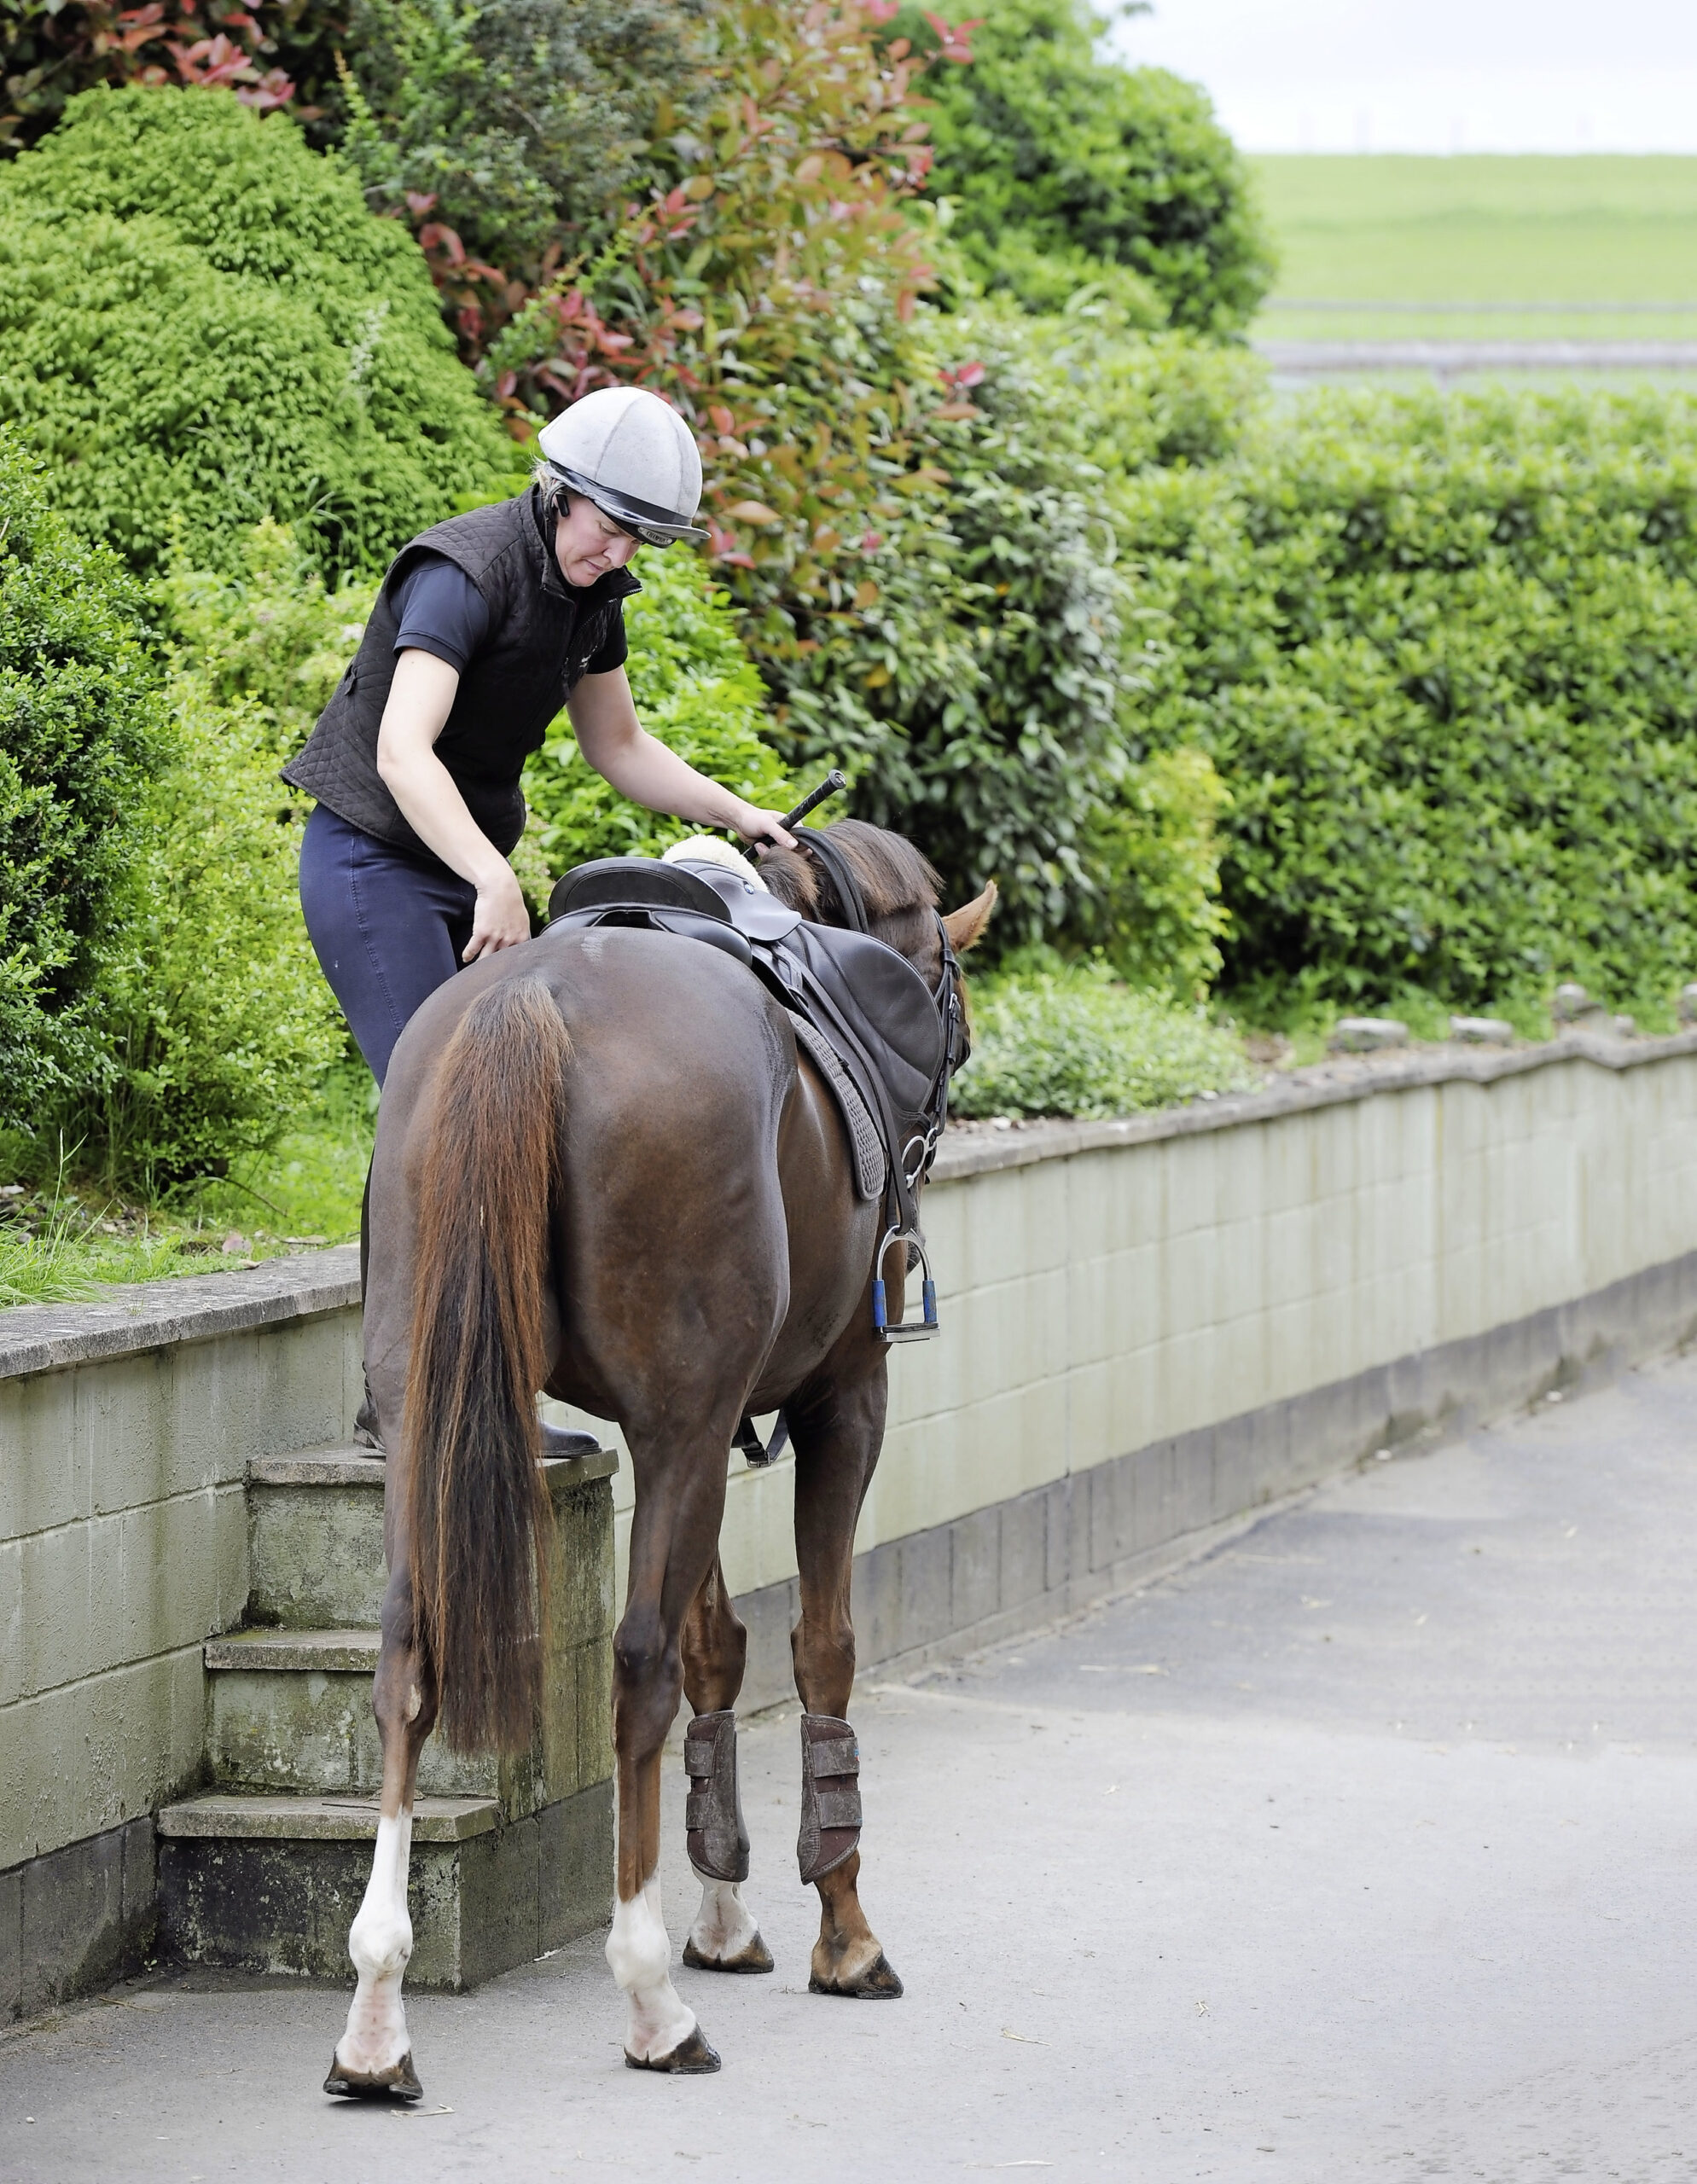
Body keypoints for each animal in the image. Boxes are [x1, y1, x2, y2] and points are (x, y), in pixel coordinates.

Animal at [323, 820, 995, 2092]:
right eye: (955, 1005)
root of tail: (532, 997)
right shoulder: (836, 1403)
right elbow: (815, 1651)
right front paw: (842, 1930)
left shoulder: (697, 1421)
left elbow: (717, 1646)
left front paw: (725, 1911)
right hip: (691, 1420)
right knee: (636, 1668)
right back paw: (647, 1998)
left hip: (430, 1412)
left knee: (406, 1656)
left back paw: (377, 2011)